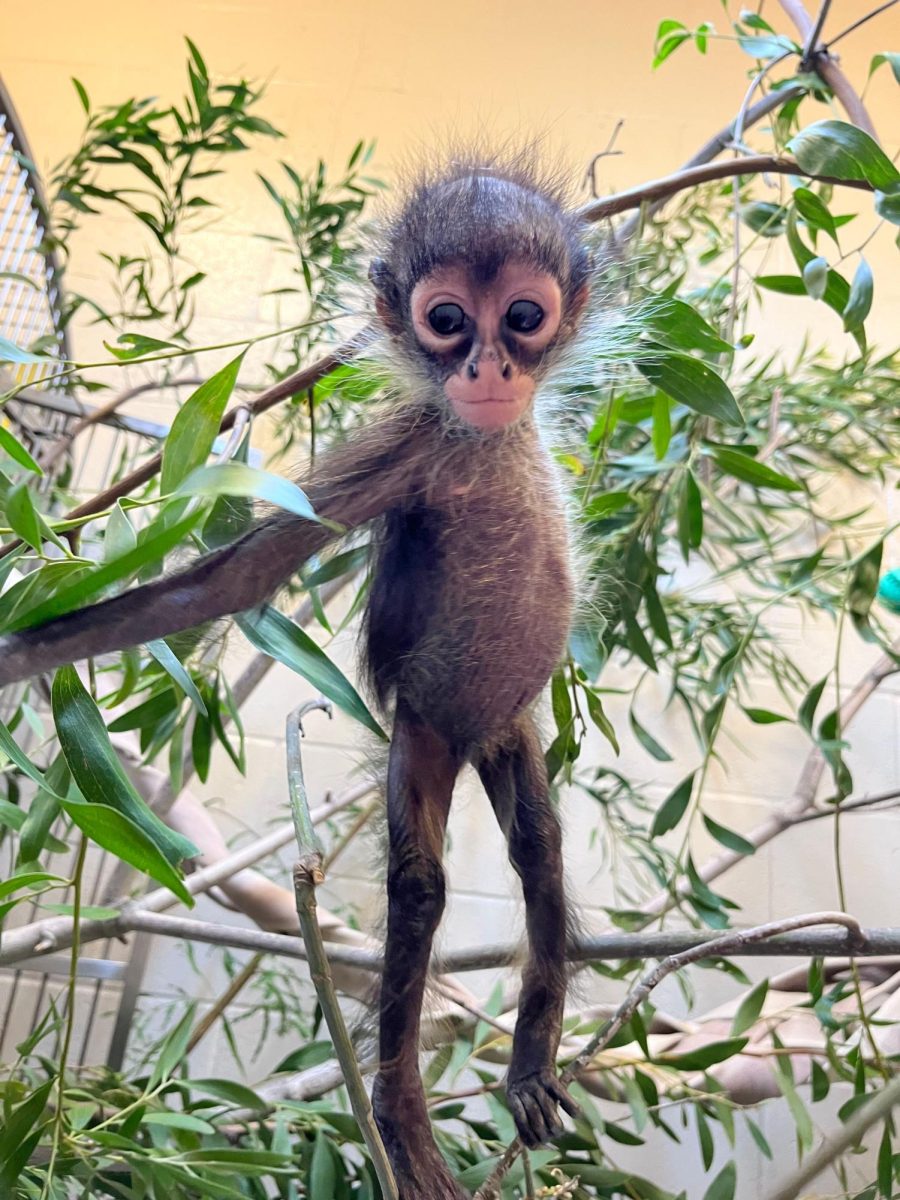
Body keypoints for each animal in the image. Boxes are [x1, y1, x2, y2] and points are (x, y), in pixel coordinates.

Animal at [0, 152, 595, 1200]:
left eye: (523, 316)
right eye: (448, 320)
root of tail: (471, 733)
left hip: (508, 725)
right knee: (423, 889)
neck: (486, 441)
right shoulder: (412, 447)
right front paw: (19, 651)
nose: (487, 368)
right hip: (425, 725)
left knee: (539, 851)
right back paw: (400, 1123)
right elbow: (230, 582)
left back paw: (525, 1068)